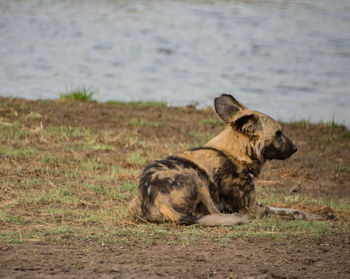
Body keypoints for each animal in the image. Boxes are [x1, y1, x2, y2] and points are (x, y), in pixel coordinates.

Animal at [127, 95, 322, 226]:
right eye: (279, 133)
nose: (295, 148)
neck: (235, 154)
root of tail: (157, 198)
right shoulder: (254, 208)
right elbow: (292, 211)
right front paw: (318, 217)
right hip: (198, 180)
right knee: (214, 213)